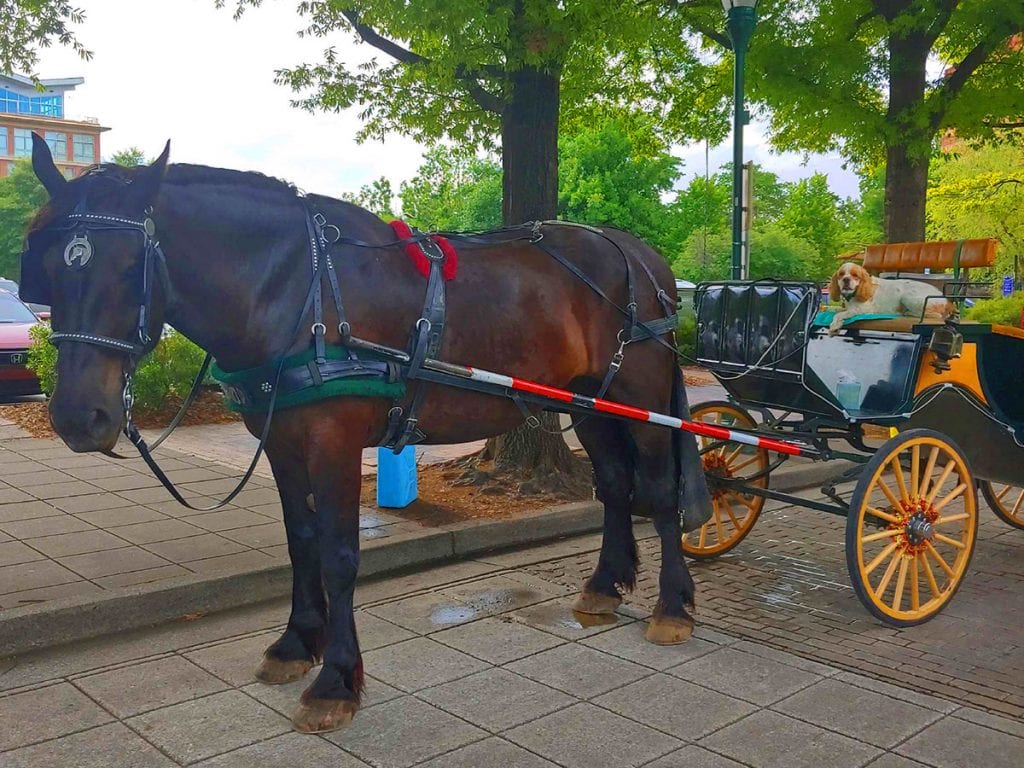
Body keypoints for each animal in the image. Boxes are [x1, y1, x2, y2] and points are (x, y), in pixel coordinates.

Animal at [24, 135, 712, 737]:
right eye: (48, 268)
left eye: (130, 267)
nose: (78, 417)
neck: (296, 287)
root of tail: (643, 258)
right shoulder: (280, 441)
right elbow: (301, 542)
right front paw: (297, 642)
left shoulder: (333, 439)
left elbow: (338, 554)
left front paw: (335, 682)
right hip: (592, 402)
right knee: (615, 484)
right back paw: (603, 587)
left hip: (642, 398)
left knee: (657, 490)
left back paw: (672, 607)